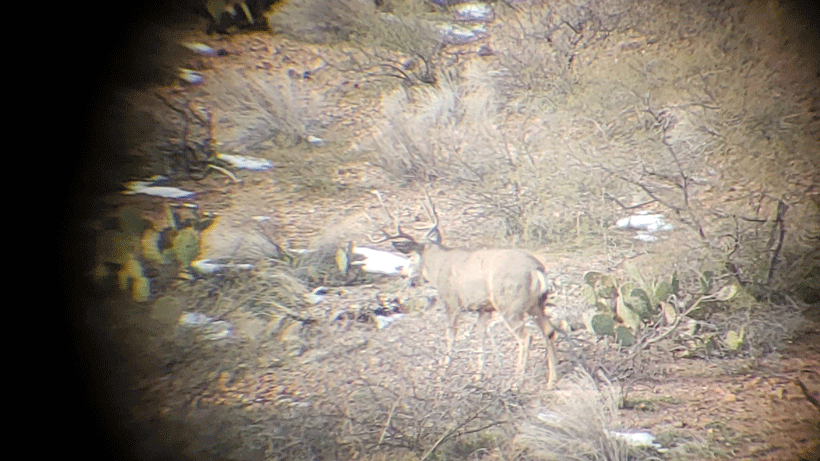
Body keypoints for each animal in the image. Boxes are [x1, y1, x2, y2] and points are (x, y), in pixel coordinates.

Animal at [369, 190, 560, 389]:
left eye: (411, 256)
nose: (403, 274)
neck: (438, 265)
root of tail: (536, 269)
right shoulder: (484, 308)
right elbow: (480, 337)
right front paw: (477, 377)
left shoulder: (451, 301)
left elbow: (450, 336)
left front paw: (442, 374)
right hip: (536, 304)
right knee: (549, 330)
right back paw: (551, 380)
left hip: (510, 306)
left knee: (525, 337)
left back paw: (517, 382)